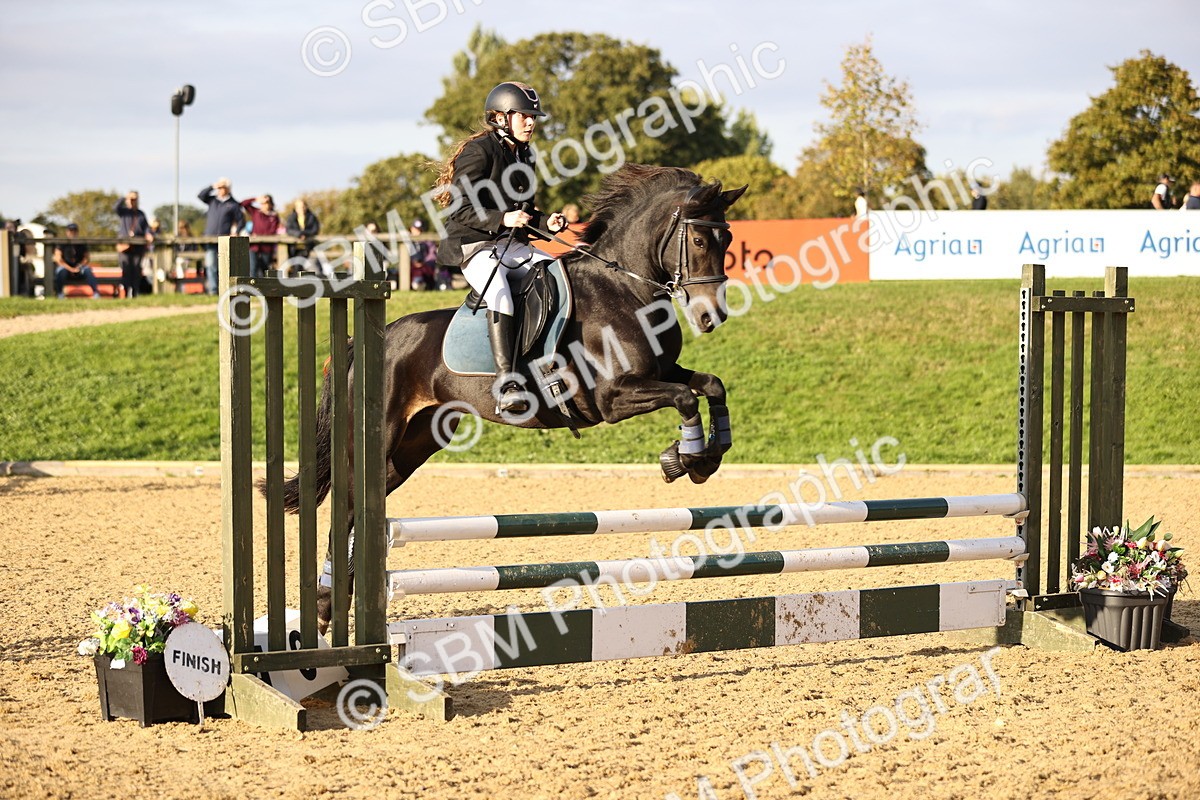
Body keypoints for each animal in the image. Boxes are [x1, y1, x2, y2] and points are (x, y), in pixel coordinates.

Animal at [278, 163, 746, 627]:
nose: (712, 316)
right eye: (699, 240)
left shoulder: (661, 373)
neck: (624, 290)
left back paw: (336, 602)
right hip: (380, 437)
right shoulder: (612, 397)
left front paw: (707, 454)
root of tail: (369, 340)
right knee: (348, 508)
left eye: (728, 241)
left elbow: (710, 385)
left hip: (413, 445)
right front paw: (686, 459)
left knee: (362, 510)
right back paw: (326, 606)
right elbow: (684, 397)